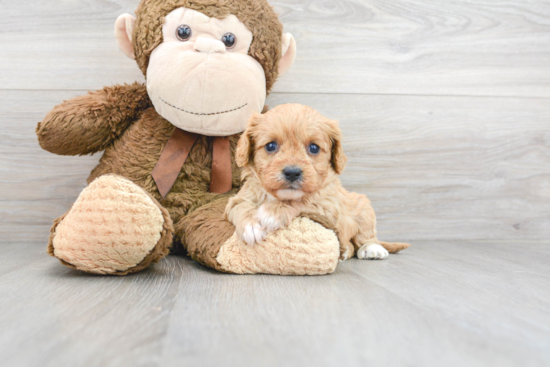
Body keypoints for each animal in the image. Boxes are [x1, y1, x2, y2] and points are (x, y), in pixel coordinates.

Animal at [224, 102, 410, 260]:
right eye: (271, 146)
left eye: (314, 148)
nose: (292, 173)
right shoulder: (237, 199)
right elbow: (241, 206)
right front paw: (251, 225)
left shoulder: (329, 206)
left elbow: (302, 200)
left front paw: (271, 213)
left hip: (364, 208)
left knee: (366, 237)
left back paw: (372, 249)